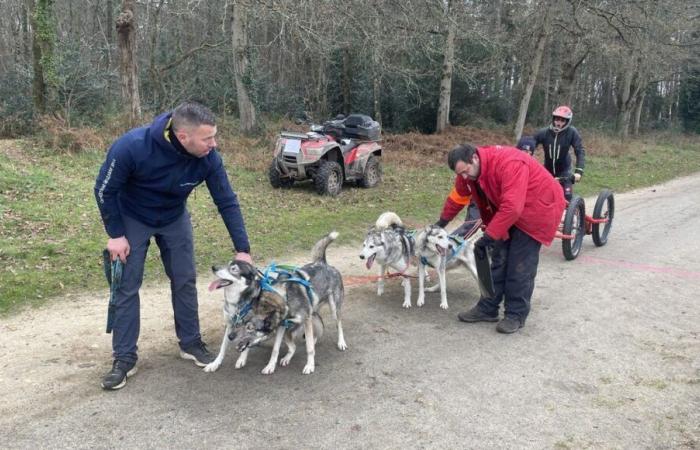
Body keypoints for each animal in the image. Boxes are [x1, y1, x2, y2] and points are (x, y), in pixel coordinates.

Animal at [219, 230, 344, 374]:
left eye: (250, 327)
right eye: (241, 322)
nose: (230, 336)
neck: (285, 298)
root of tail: (322, 263)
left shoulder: (306, 321)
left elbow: (309, 348)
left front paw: (310, 365)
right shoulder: (282, 326)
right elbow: (276, 348)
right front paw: (270, 366)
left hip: (333, 309)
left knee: (338, 325)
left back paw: (341, 342)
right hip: (304, 320)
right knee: (299, 343)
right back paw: (289, 356)